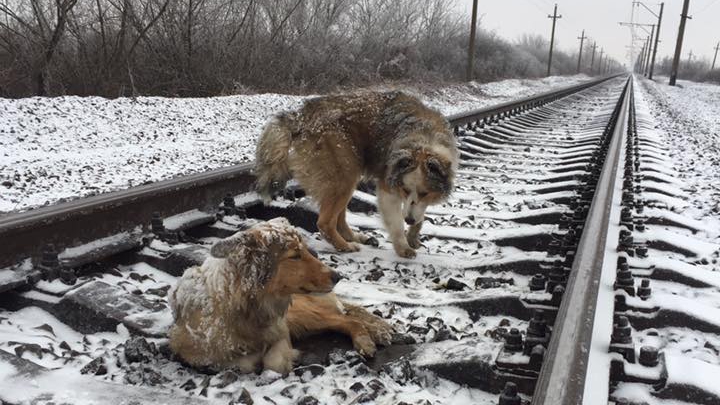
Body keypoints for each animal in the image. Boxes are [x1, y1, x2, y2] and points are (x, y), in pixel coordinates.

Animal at [167, 218, 394, 372]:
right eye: (295, 256)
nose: (338, 276)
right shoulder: (192, 352)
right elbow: (240, 363)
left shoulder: (281, 328)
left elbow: (272, 362)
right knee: (346, 318)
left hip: (303, 314)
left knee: (349, 319)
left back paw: (367, 339)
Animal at [253, 91, 456, 258]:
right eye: (404, 190)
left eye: (425, 193)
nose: (409, 219)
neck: (424, 140)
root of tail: (301, 116)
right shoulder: (388, 186)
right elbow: (397, 223)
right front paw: (403, 247)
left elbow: (420, 213)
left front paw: (413, 235)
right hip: (344, 173)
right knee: (325, 222)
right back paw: (345, 246)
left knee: (339, 218)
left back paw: (356, 238)